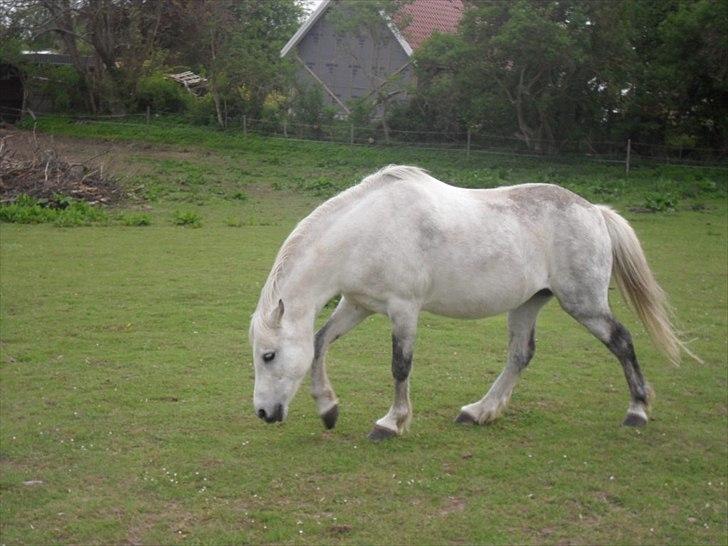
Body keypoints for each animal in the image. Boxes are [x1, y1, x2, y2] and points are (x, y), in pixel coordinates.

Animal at [249, 165, 696, 440]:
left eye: (269, 356)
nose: (264, 414)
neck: (367, 231)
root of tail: (595, 212)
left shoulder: (403, 309)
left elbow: (399, 366)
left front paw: (392, 423)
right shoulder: (358, 304)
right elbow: (320, 341)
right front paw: (328, 409)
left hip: (583, 303)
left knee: (621, 341)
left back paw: (637, 411)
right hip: (528, 303)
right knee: (520, 355)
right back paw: (480, 411)